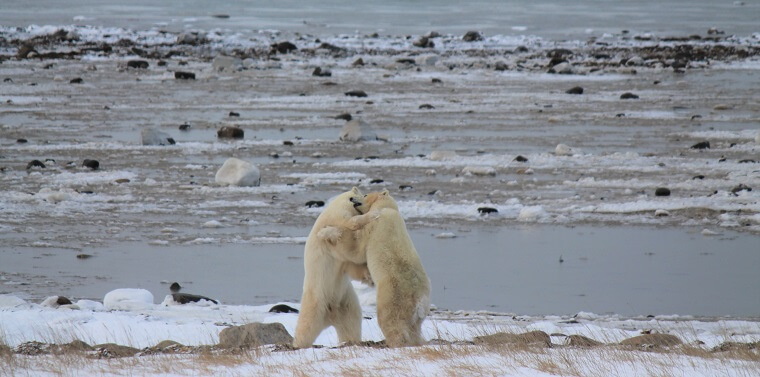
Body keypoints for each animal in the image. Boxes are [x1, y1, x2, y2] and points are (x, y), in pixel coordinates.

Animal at [290, 187, 378, 348]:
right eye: (363, 195)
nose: (356, 201)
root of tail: (330, 315)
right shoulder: (338, 215)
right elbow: (351, 223)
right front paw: (373, 214)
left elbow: (351, 265)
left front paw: (369, 277)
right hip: (316, 301)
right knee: (306, 326)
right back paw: (297, 344)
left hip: (345, 303)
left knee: (351, 323)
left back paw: (352, 340)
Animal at [336, 189, 430, 346]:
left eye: (365, 194)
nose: (351, 198)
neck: (387, 208)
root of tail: (419, 302)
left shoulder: (374, 224)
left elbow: (357, 248)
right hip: (417, 314)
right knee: (414, 328)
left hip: (392, 297)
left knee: (391, 322)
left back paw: (393, 343)